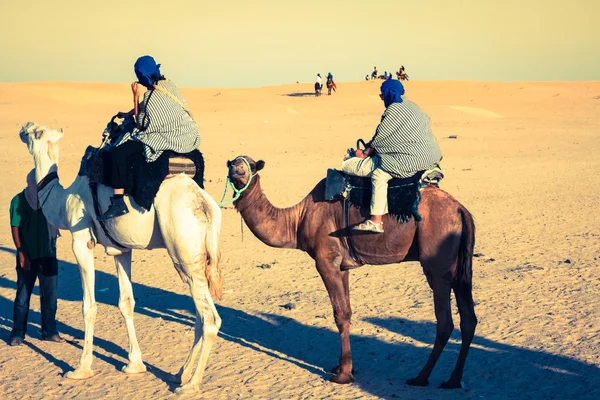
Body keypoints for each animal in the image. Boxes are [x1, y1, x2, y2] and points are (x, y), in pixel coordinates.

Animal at [20, 122, 225, 396]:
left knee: (209, 319)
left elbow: (89, 306)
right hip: (193, 259)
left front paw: (81, 369)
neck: (62, 200)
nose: (22, 129)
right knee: (202, 319)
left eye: (33, 131)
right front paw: (134, 365)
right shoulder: (122, 249)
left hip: (185, 252)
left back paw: (190, 385)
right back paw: (179, 374)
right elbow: (126, 302)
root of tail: (206, 206)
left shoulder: (80, 239)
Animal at [227, 155, 476, 388]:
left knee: (445, 322)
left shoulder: (326, 262)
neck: (298, 219)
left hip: (437, 264)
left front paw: (343, 374)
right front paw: (341, 367)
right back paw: (453, 380)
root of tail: (461, 210)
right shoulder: (342, 266)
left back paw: (421, 377)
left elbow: (341, 314)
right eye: (232, 163)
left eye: (250, 165)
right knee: (468, 318)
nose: (236, 170)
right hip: (459, 267)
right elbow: (347, 310)